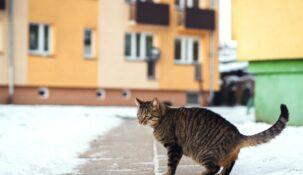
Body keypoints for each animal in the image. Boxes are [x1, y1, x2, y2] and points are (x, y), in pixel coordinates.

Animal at [135, 98, 290, 174]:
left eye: (147, 116)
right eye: (138, 115)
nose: (140, 121)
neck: (162, 119)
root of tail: (238, 134)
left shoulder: (174, 148)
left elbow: (171, 166)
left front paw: (167, 173)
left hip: (202, 152)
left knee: (214, 168)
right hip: (224, 156)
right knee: (227, 166)